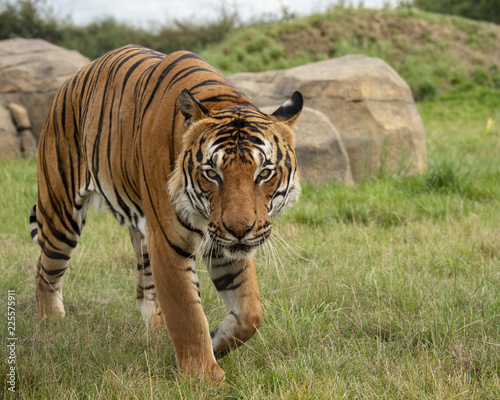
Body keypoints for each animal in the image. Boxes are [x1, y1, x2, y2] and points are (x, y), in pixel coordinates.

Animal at [31, 43, 302, 382]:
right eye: (212, 173)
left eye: (264, 173)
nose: (240, 230)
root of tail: (70, 80)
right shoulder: (171, 242)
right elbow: (187, 312)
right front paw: (204, 377)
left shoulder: (221, 245)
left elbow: (250, 312)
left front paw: (217, 340)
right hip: (60, 212)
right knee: (45, 269)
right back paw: (50, 324)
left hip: (142, 231)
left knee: (144, 287)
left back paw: (156, 329)